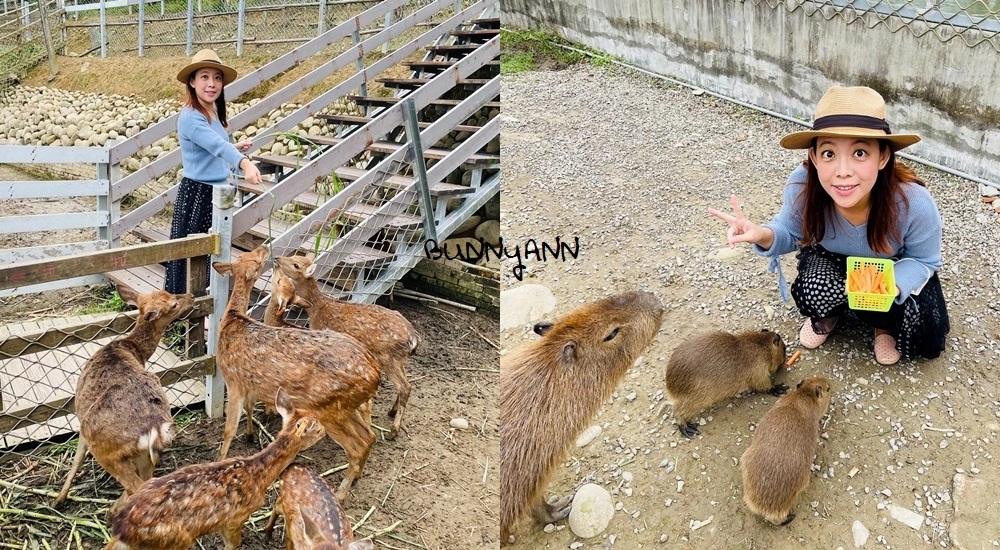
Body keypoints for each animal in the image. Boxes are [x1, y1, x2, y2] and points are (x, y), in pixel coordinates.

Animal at [53, 286, 195, 516]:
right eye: (173, 302)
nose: (191, 296)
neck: (128, 347)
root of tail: (154, 428)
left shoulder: (81, 421)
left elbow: (77, 457)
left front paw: (59, 499)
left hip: (106, 450)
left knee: (134, 487)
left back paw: (112, 511)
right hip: (144, 454)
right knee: (145, 482)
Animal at [105, 388, 324, 550]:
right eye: (318, 428)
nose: (325, 431)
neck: (258, 476)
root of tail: (122, 529)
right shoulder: (234, 519)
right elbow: (233, 544)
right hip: (174, 539)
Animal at [213, 244, 380, 502]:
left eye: (257, 261)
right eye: (249, 256)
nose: (266, 248)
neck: (232, 321)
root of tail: (376, 374)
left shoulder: (234, 380)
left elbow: (229, 429)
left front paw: (219, 460)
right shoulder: (250, 383)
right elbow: (250, 408)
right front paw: (250, 435)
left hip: (328, 408)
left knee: (357, 446)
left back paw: (341, 493)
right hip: (345, 407)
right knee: (370, 436)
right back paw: (357, 477)